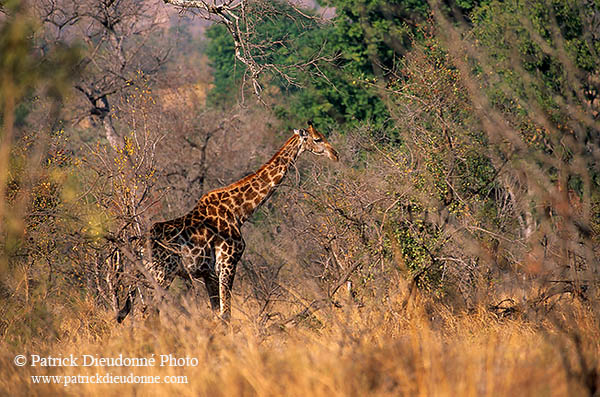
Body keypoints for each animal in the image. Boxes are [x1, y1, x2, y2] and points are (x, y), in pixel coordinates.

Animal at [117, 121, 340, 322]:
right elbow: (226, 314)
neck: (238, 211)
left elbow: (218, 314)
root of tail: (139, 245)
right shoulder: (227, 263)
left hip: (144, 276)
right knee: (149, 312)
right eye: (317, 138)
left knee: (134, 311)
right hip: (162, 273)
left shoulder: (208, 273)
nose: (335, 154)